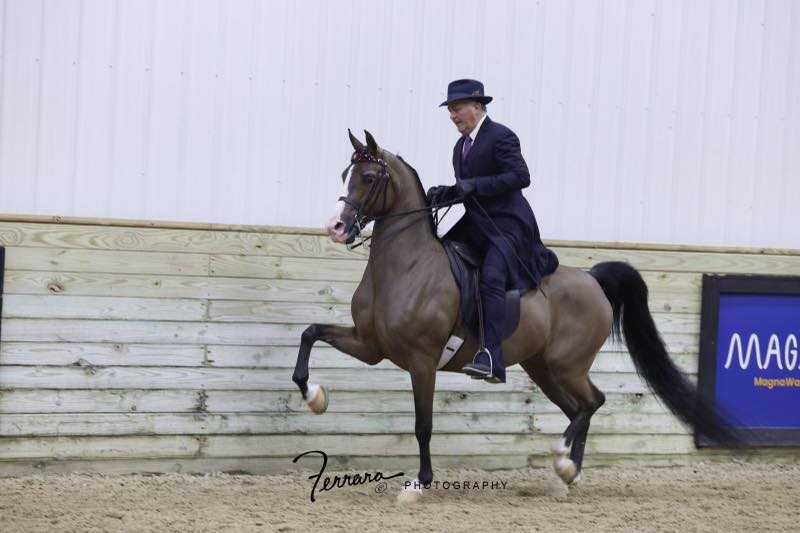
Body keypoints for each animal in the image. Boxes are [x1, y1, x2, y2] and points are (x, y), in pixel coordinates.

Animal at [292, 130, 738, 503]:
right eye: (345, 174)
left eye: (368, 177)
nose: (335, 227)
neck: (406, 266)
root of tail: (593, 279)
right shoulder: (370, 345)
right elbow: (310, 333)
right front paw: (315, 396)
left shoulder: (422, 362)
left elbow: (423, 425)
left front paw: (418, 485)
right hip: (542, 367)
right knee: (578, 408)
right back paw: (569, 475)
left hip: (566, 363)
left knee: (592, 402)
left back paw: (563, 461)